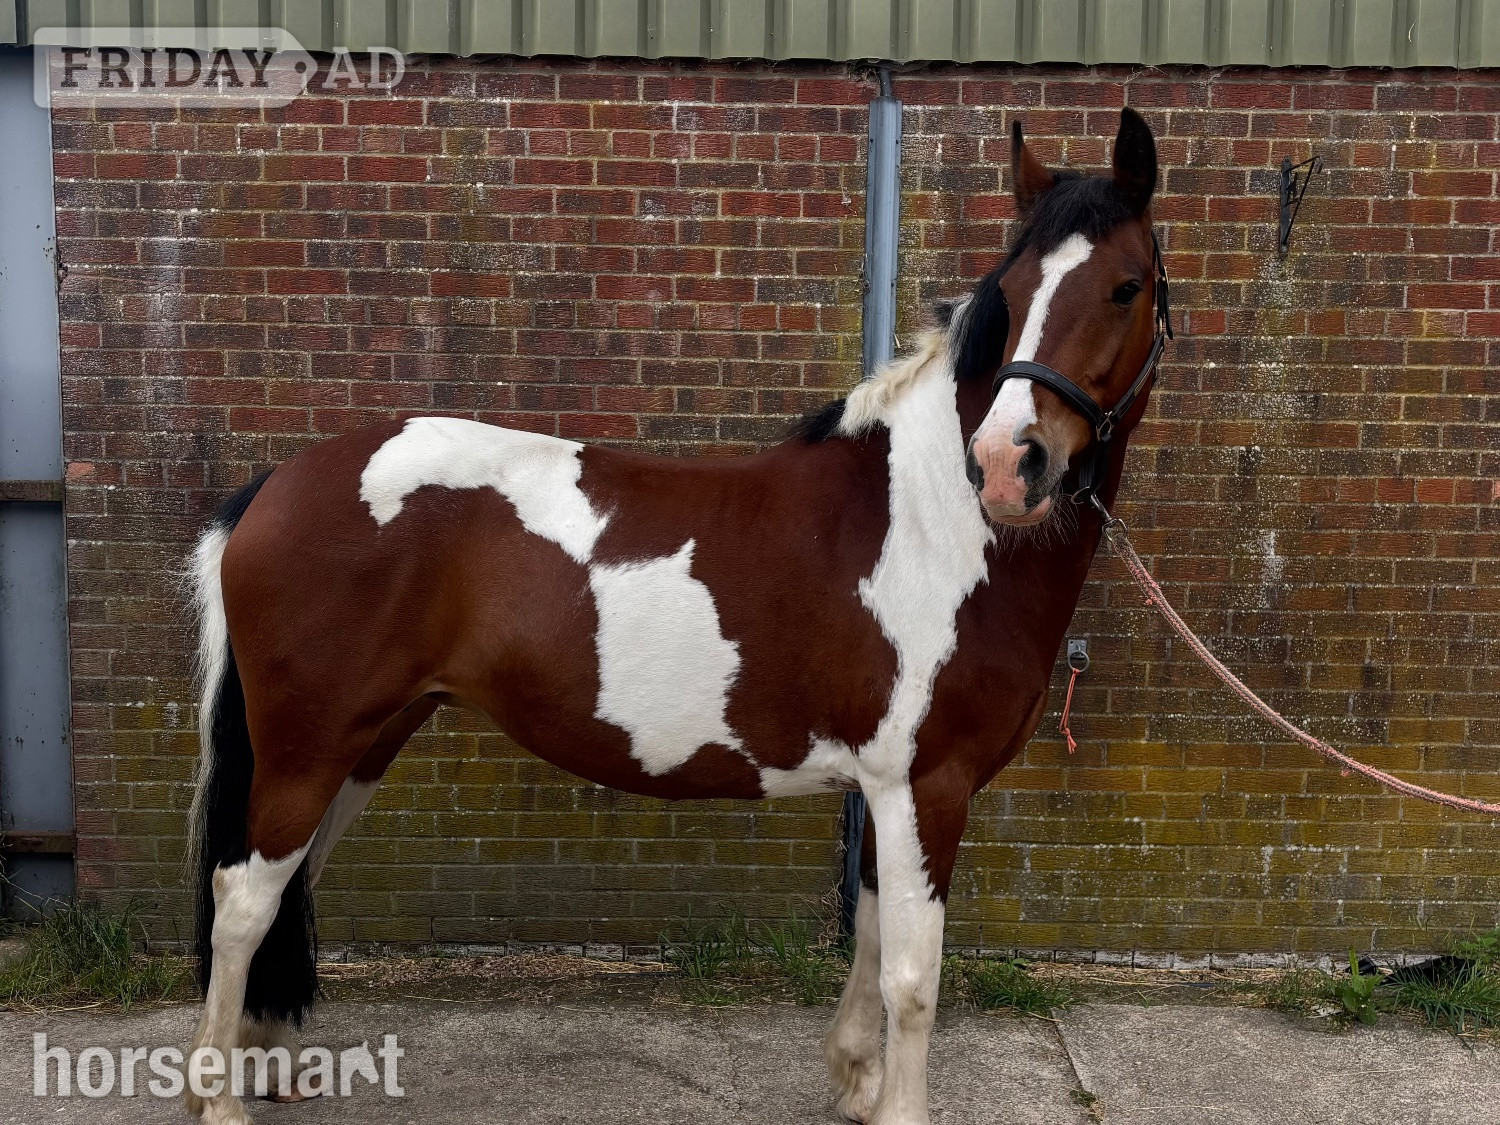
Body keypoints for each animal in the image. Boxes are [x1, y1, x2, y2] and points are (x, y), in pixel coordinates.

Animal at [184, 106, 1171, 1125]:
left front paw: (855, 1081)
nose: (1011, 464)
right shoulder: (924, 786)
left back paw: (265, 1064)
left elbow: (866, 934)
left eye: (1125, 286)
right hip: (312, 748)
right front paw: (894, 1104)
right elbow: (913, 976)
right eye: (1010, 294)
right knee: (244, 899)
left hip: (365, 743)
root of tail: (275, 486)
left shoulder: (887, 787)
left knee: (283, 886)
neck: (931, 515)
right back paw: (219, 1096)